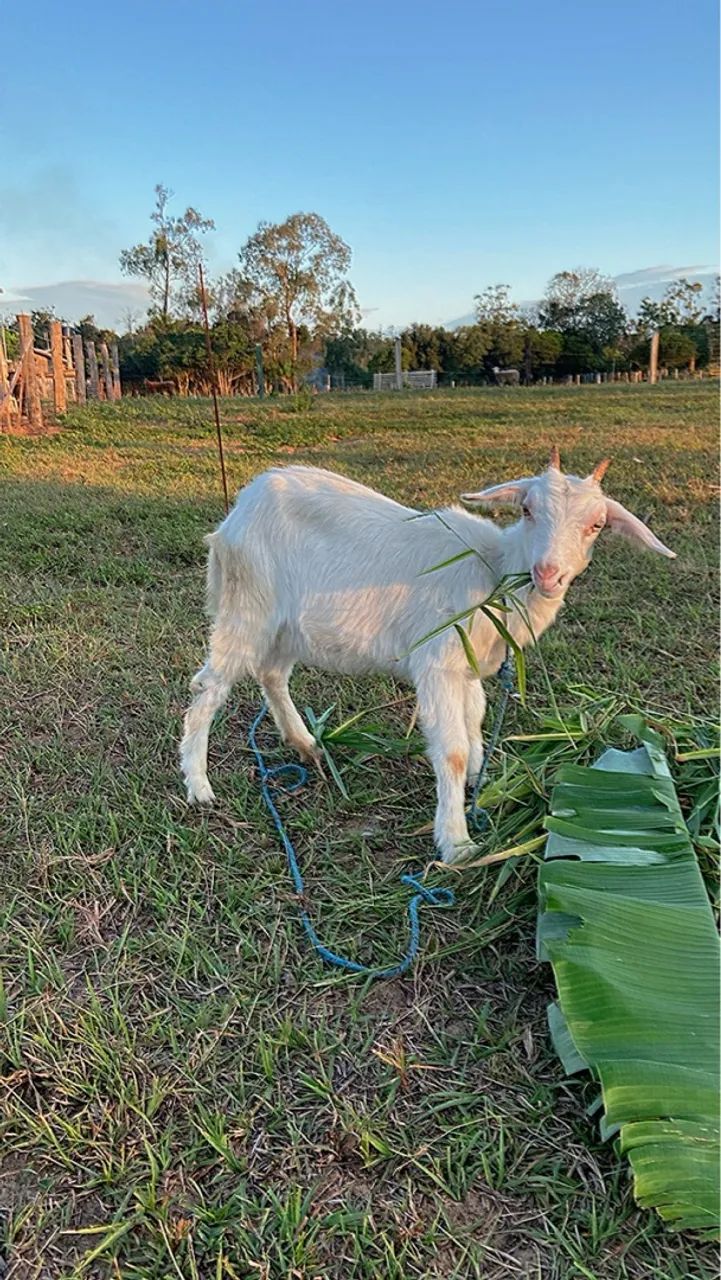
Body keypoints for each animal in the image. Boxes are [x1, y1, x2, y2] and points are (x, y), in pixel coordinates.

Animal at [180, 449, 675, 862]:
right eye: (527, 509)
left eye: (597, 525)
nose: (548, 574)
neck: (495, 572)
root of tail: (243, 504)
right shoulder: (437, 663)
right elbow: (451, 750)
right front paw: (456, 842)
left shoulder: (467, 670)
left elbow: (475, 726)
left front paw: (479, 782)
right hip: (250, 605)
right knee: (210, 687)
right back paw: (199, 785)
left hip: (288, 626)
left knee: (271, 674)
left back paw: (305, 744)